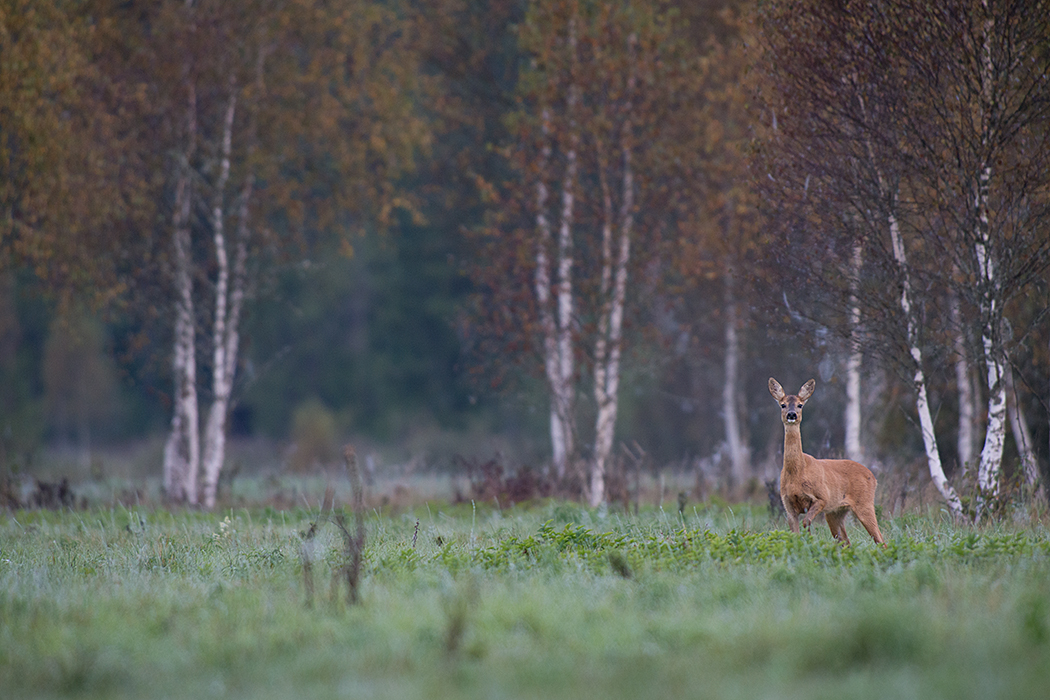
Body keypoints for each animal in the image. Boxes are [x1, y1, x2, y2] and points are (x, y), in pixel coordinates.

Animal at [768, 377, 881, 545]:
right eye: (783, 404)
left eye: (800, 404)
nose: (792, 414)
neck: (797, 472)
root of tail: (873, 477)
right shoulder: (787, 505)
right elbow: (795, 534)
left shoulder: (822, 497)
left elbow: (806, 522)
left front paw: (809, 540)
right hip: (836, 512)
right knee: (846, 542)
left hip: (864, 503)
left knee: (880, 539)